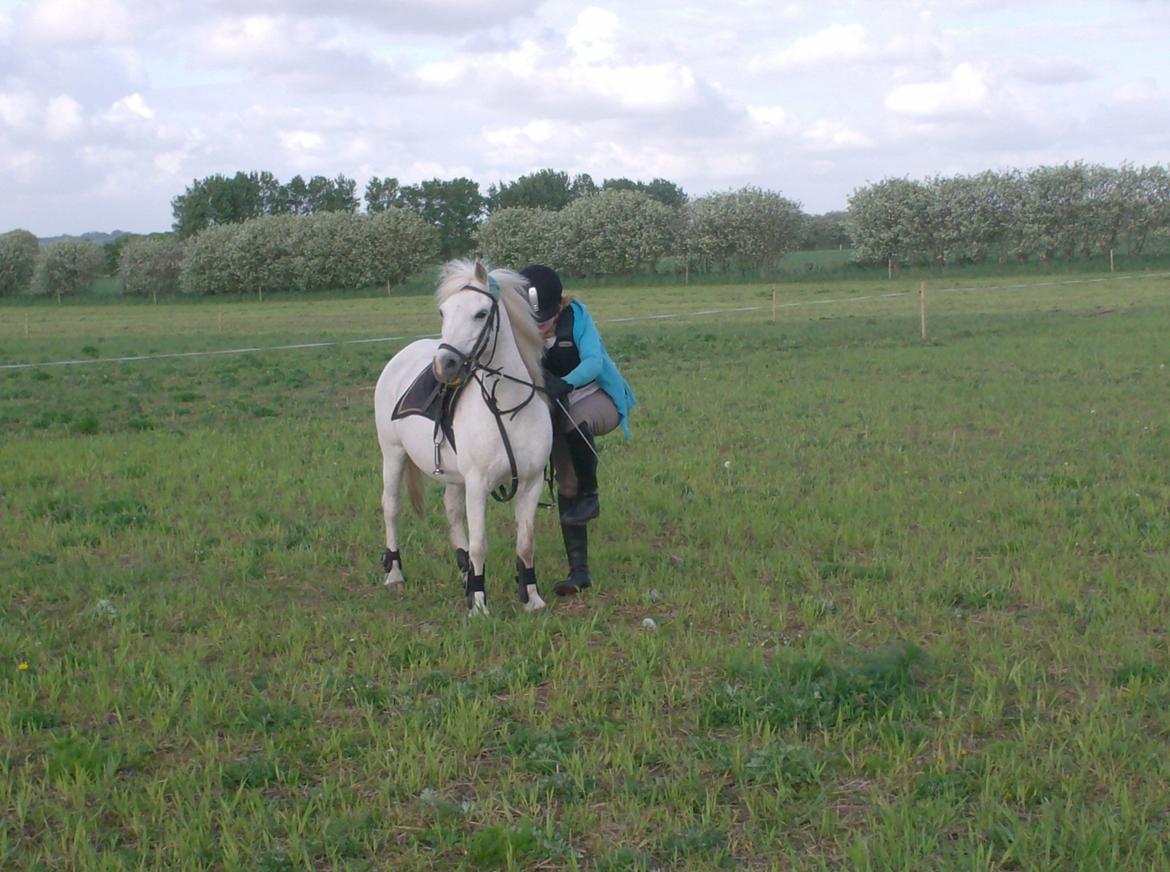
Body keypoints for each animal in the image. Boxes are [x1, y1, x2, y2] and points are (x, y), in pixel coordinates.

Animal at [373, 259, 552, 616]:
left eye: (481, 313)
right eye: (443, 312)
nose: (445, 365)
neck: (507, 408)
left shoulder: (531, 482)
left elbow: (526, 544)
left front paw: (532, 598)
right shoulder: (477, 484)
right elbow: (480, 543)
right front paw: (479, 605)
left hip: (453, 476)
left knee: (452, 512)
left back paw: (464, 574)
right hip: (393, 453)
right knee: (392, 507)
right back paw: (395, 573)